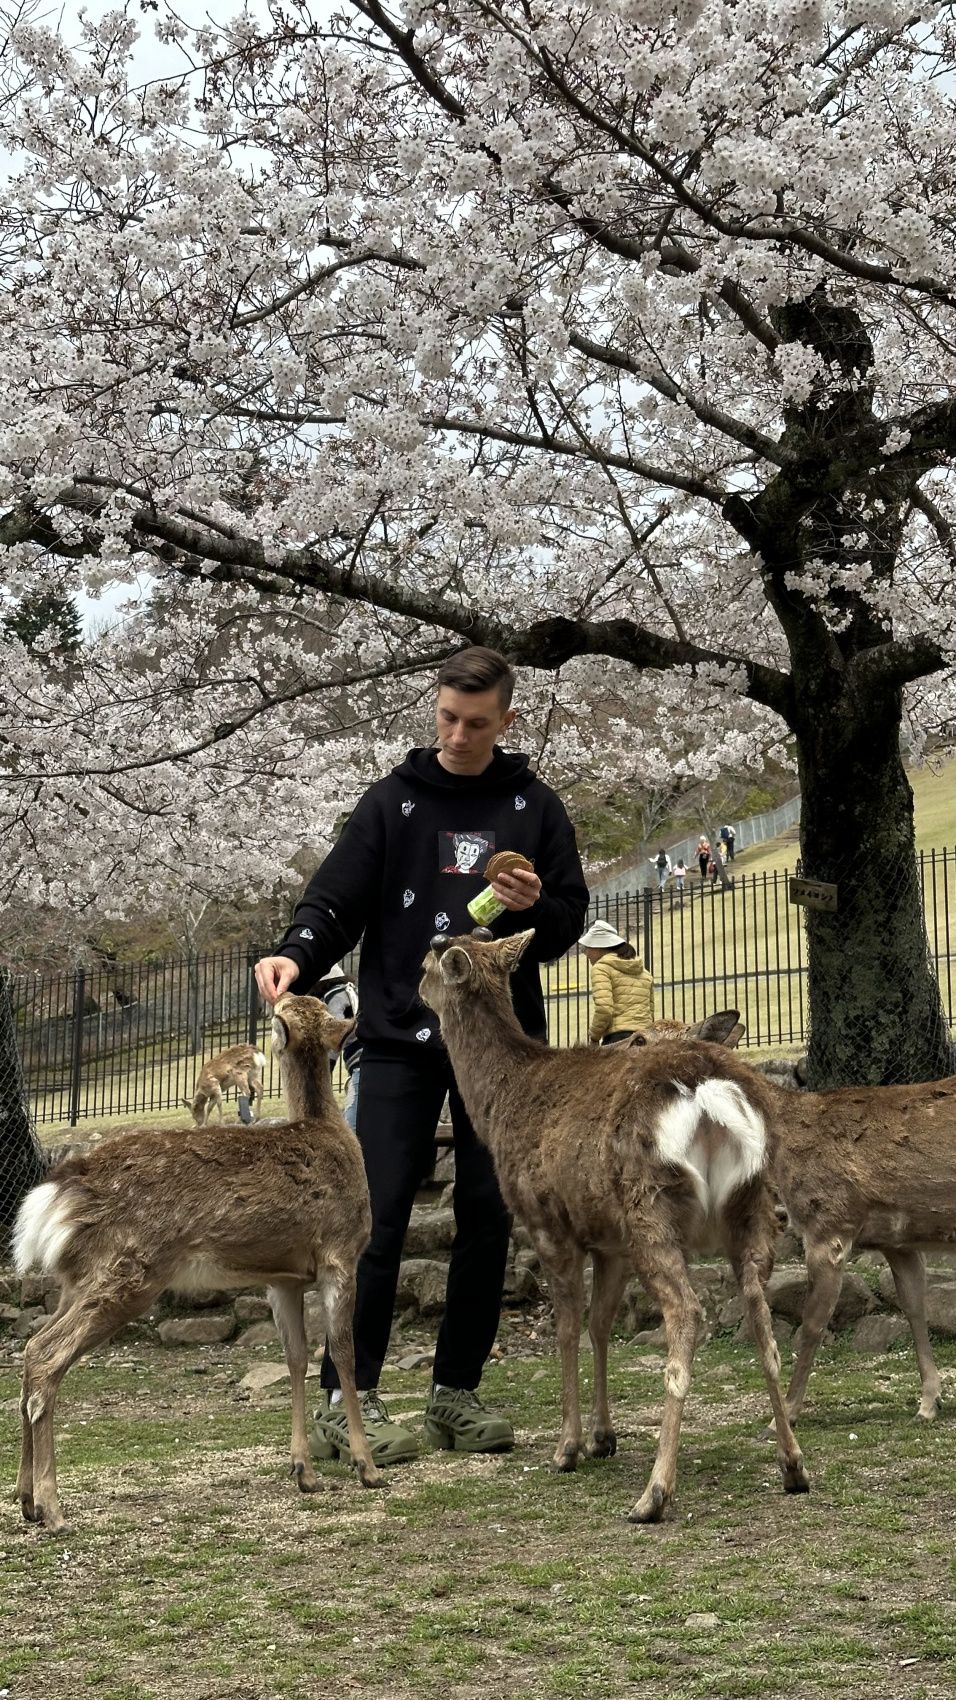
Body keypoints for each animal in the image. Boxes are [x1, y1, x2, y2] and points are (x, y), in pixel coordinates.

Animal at [12, 992, 379, 1536]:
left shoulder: (283, 1278)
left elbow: (296, 1358)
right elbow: (344, 1354)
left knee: (33, 1345)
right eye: (291, 1005)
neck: (329, 1131)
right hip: (131, 1270)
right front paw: (366, 1465)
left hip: (78, 1279)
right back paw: (55, 1510)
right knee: (46, 1355)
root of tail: (61, 1189)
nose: (279, 990)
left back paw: (26, 1500)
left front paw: (304, 1472)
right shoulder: (340, 1254)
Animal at [416, 931, 802, 1530]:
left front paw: (568, 1448)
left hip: (650, 1204)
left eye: (433, 954)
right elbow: (600, 1325)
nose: (415, 985)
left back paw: (653, 1494)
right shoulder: (610, 1239)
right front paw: (603, 1437)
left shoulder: (547, 1221)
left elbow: (568, 1329)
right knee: (762, 1317)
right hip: (751, 1205)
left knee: (687, 1311)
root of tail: (709, 1090)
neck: (501, 1107)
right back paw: (794, 1466)